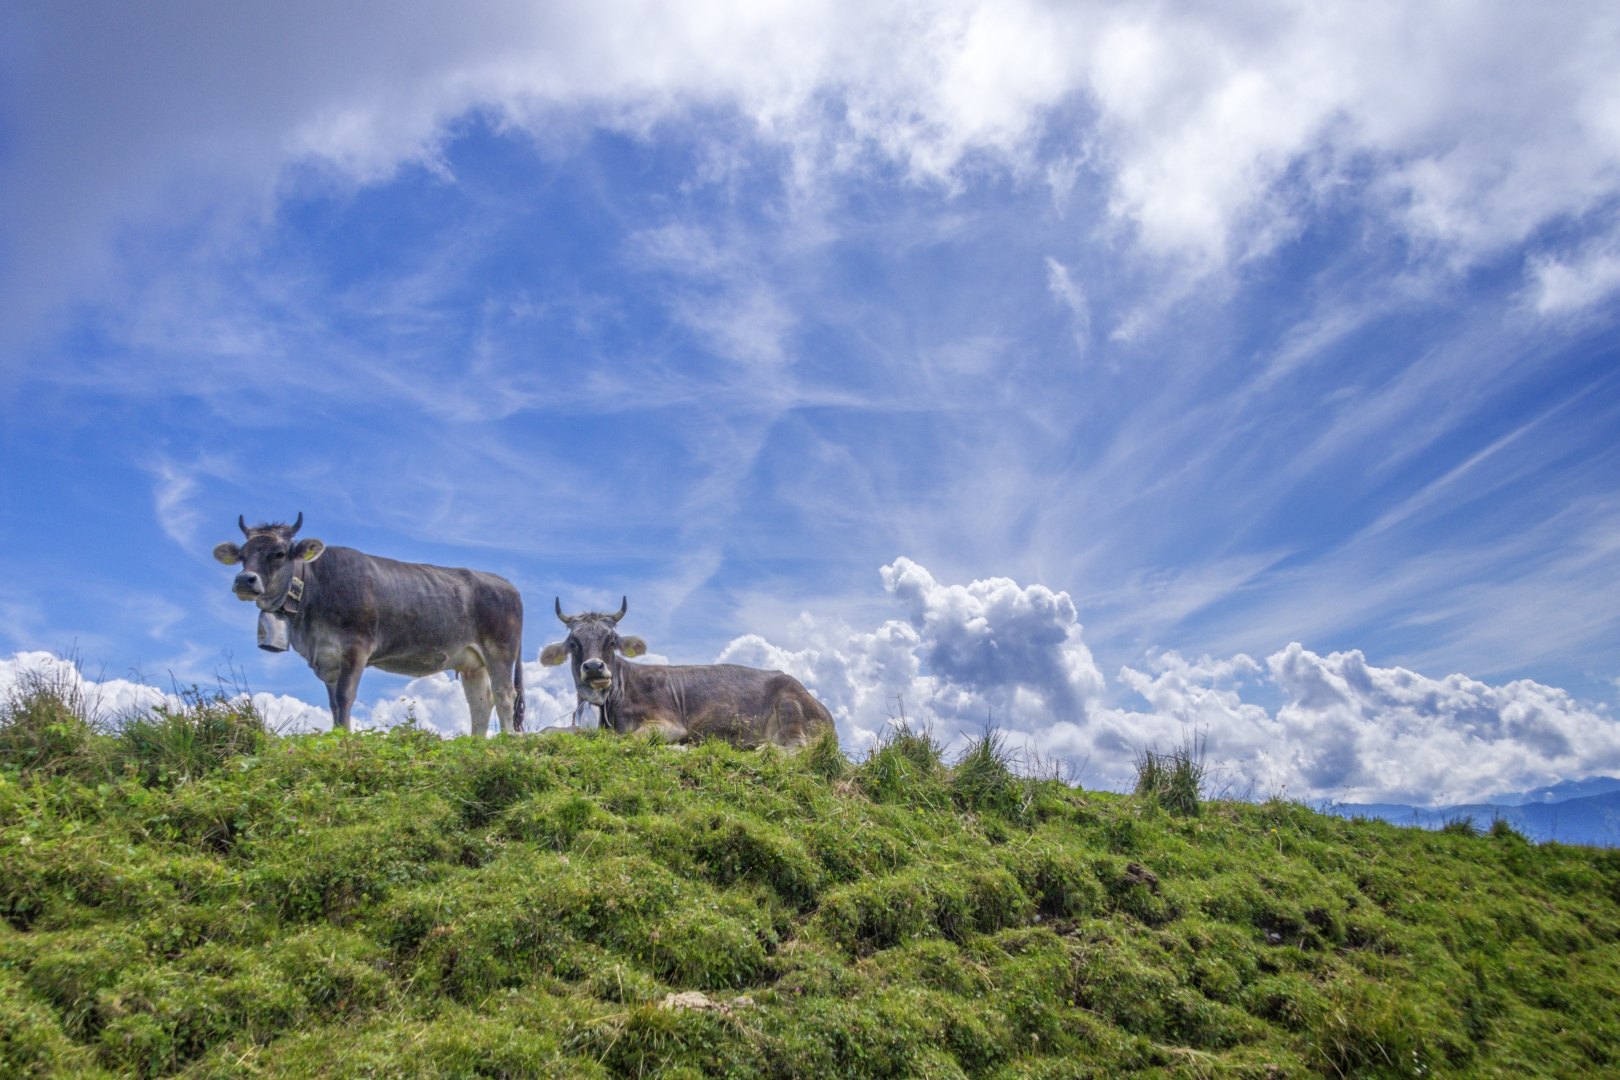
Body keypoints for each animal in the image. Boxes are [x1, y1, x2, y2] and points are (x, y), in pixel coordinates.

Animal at [541, 599, 829, 751]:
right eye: (573, 643)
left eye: (611, 641)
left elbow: (628, 738)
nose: (593, 667)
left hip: (791, 710)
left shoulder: (669, 724)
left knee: (794, 748)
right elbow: (547, 730)